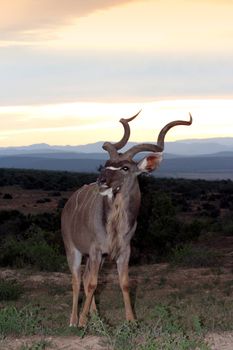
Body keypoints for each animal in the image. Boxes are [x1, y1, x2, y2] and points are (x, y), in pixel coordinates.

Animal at [61, 111, 192, 326]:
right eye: (107, 165)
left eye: (124, 168)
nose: (101, 181)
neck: (115, 225)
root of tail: (68, 205)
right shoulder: (96, 250)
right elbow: (92, 283)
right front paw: (81, 322)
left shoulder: (122, 252)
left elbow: (124, 283)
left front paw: (131, 321)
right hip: (73, 250)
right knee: (77, 279)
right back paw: (74, 320)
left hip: (95, 258)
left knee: (86, 277)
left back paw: (96, 317)